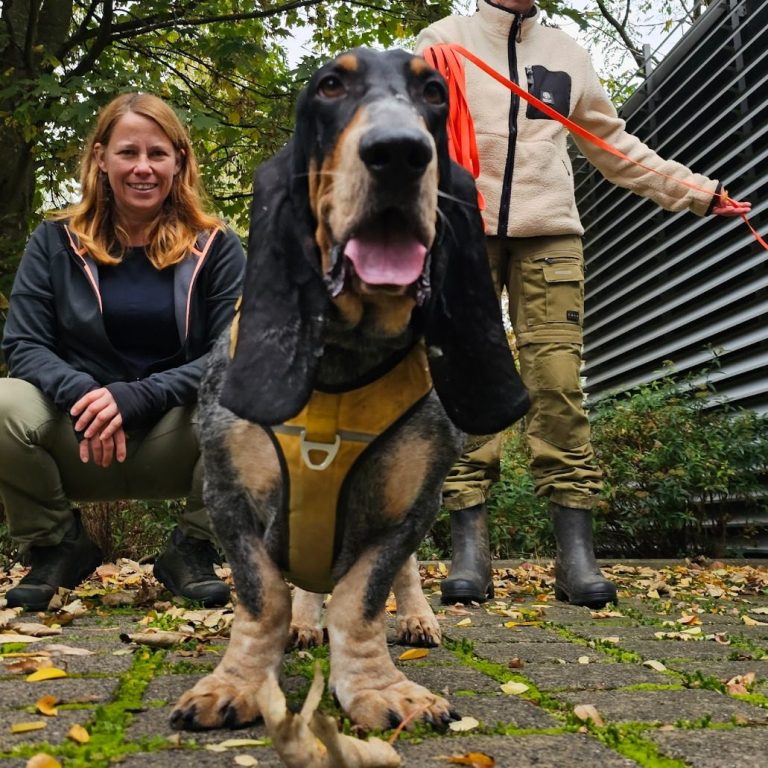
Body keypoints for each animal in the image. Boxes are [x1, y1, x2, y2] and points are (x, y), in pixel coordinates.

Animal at [171, 47, 528, 733]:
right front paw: (237, 684)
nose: (400, 152)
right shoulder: (227, 498)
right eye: (330, 86)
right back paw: (306, 626)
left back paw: (417, 619)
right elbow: (264, 598)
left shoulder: (407, 507)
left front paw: (377, 688)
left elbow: (364, 599)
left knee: (401, 578)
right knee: (305, 586)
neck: (341, 365)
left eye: (435, 93)